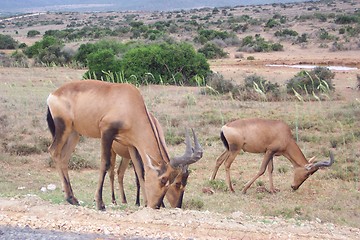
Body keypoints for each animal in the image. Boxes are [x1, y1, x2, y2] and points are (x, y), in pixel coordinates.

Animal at [47, 79, 202, 209]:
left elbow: (140, 171)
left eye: (173, 180)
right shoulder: (106, 132)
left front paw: (144, 203)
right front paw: (100, 203)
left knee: (64, 157)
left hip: (74, 133)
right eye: (165, 180)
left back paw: (73, 199)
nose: (156, 205)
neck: (130, 101)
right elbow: (105, 164)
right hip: (63, 127)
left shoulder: (132, 145)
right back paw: (71, 198)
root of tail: (53, 94)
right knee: (54, 151)